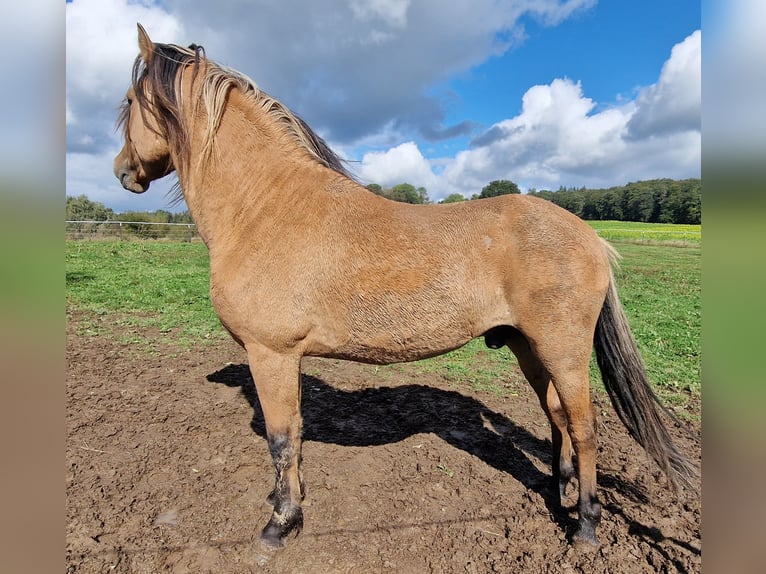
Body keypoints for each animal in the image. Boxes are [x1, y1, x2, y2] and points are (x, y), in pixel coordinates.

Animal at [115, 25, 704, 552]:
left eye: (127, 101)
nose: (123, 170)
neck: (264, 206)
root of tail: (591, 237)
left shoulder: (271, 353)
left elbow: (282, 441)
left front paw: (279, 526)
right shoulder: (285, 358)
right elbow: (296, 438)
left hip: (562, 348)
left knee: (584, 428)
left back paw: (584, 526)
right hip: (528, 347)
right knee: (557, 416)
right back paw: (555, 492)